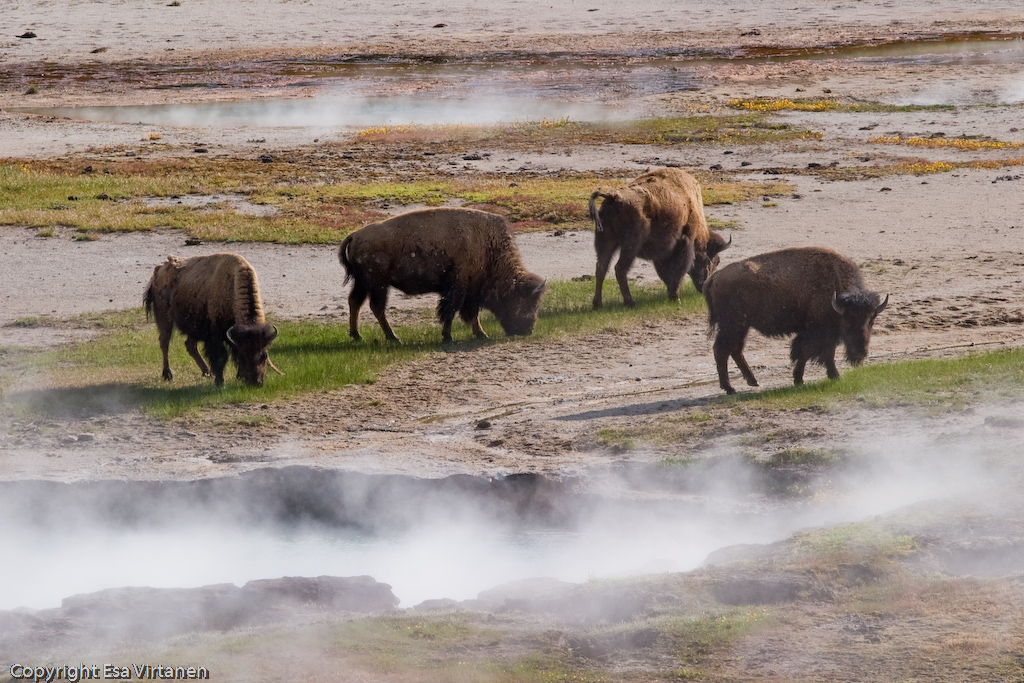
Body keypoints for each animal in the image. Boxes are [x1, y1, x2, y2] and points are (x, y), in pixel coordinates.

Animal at [144, 253, 279, 387]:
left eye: (264, 355)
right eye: (243, 356)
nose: (256, 382)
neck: (232, 286)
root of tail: (159, 270)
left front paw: (238, 377)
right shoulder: (216, 333)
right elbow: (220, 356)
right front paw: (220, 381)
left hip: (193, 326)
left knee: (190, 345)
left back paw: (206, 372)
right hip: (164, 318)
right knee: (165, 343)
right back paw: (168, 375)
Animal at [339, 207, 546, 343]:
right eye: (526, 301)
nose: (528, 330)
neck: (489, 250)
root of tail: (355, 235)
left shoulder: (470, 293)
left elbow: (471, 314)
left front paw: (480, 333)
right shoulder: (458, 289)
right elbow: (452, 311)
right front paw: (449, 336)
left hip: (364, 283)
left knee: (356, 302)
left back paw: (357, 336)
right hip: (378, 283)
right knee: (376, 307)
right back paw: (393, 337)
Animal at [589, 167, 731, 309]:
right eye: (715, 261)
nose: (704, 287)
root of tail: (613, 197)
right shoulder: (684, 244)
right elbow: (677, 271)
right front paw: (674, 296)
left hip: (606, 241)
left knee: (601, 267)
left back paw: (598, 304)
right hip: (630, 245)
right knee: (620, 268)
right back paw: (630, 302)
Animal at [703, 247, 888, 394]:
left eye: (871, 321)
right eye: (847, 322)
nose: (860, 354)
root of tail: (714, 277)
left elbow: (803, 353)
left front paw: (799, 379)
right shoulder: (821, 333)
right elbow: (822, 353)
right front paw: (835, 376)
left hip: (742, 326)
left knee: (735, 350)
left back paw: (752, 382)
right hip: (732, 325)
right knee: (721, 350)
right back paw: (729, 388)